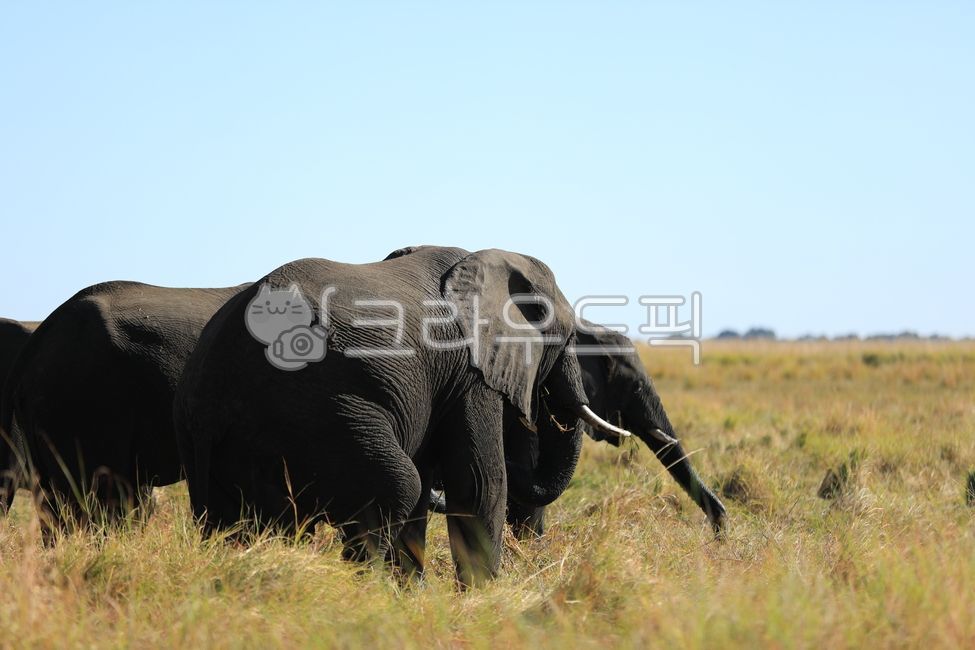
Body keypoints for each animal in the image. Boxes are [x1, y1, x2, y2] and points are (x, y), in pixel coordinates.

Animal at [173, 246, 631, 586]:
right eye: (566, 336)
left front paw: (417, 594)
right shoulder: (468, 371)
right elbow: (479, 481)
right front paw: (481, 601)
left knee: (248, 523)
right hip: (320, 412)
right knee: (396, 486)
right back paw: (368, 593)